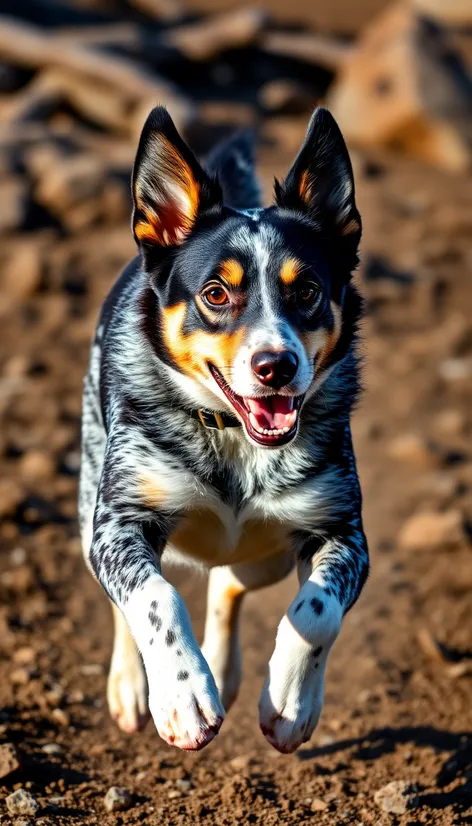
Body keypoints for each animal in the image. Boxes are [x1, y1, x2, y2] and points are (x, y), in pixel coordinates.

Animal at [79, 108, 368, 752]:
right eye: (216, 293)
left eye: (307, 290)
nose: (275, 365)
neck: (233, 437)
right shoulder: (118, 523)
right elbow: (153, 597)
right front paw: (184, 695)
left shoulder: (342, 532)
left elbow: (317, 611)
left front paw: (292, 701)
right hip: (87, 500)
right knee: (125, 601)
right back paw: (132, 685)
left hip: (267, 555)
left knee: (230, 582)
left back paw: (225, 670)